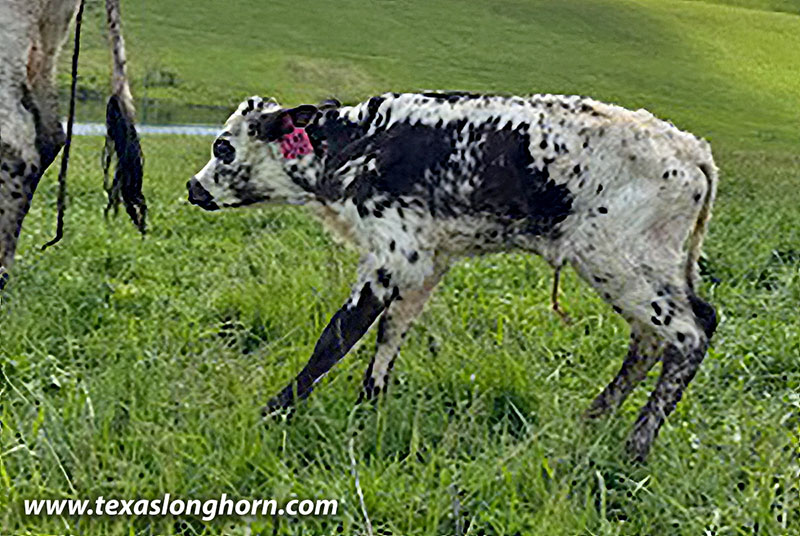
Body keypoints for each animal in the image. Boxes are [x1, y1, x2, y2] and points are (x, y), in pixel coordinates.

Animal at [187, 91, 719, 461]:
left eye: (224, 147)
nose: (193, 187)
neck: (359, 145)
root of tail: (691, 149)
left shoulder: (393, 253)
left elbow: (337, 336)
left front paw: (274, 409)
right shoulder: (426, 259)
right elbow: (391, 332)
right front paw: (368, 406)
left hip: (619, 260)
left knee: (690, 333)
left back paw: (636, 446)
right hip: (643, 268)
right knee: (654, 339)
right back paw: (592, 419)